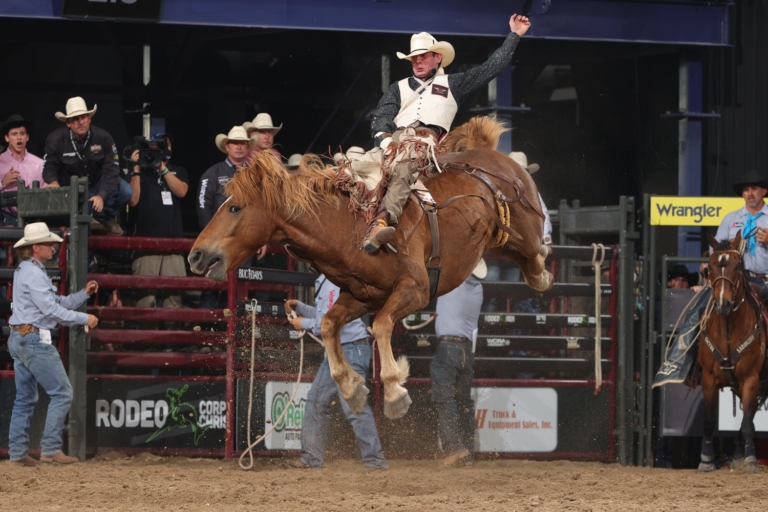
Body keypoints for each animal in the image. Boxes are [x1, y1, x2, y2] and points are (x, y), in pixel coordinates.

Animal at [191, 117, 552, 420]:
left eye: (235, 208)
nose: (196, 255)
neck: (349, 226)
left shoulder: (415, 290)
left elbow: (380, 327)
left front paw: (394, 392)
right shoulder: (363, 296)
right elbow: (328, 325)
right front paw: (352, 389)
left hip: (526, 228)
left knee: (535, 258)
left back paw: (545, 267)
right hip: (499, 240)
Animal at [704, 232, 768, 472]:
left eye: (737, 266)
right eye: (710, 266)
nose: (723, 304)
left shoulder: (750, 378)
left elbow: (748, 421)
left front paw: (750, 460)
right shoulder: (708, 378)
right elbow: (709, 420)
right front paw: (706, 460)